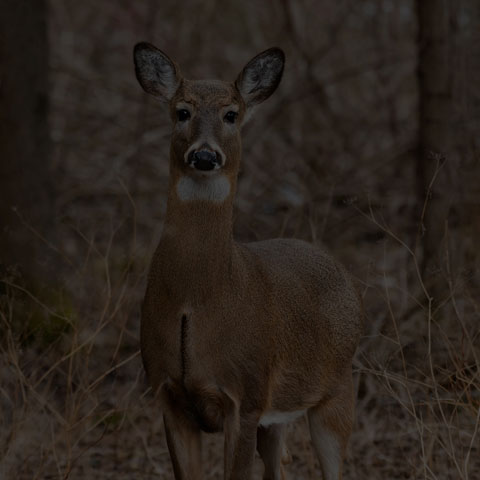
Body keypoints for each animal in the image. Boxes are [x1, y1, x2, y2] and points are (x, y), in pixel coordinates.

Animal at [133, 42, 362, 480]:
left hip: (338, 387)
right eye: (182, 111)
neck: (196, 302)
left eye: (231, 114)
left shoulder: (247, 396)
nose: (205, 155)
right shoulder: (167, 394)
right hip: (279, 418)